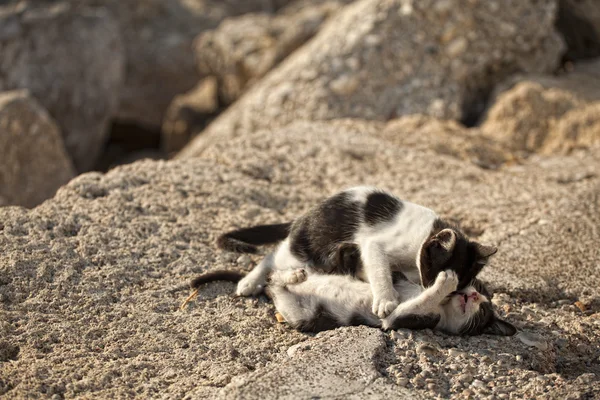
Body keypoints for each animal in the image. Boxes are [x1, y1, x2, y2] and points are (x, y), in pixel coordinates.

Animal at [218, 186, 500, 320]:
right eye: (435, 274)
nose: (429, 287)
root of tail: (304, 217)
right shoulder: (374, 244)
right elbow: (379, 269)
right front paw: (385, 299)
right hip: (308, 249)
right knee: (273, 258)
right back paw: (249, 282)